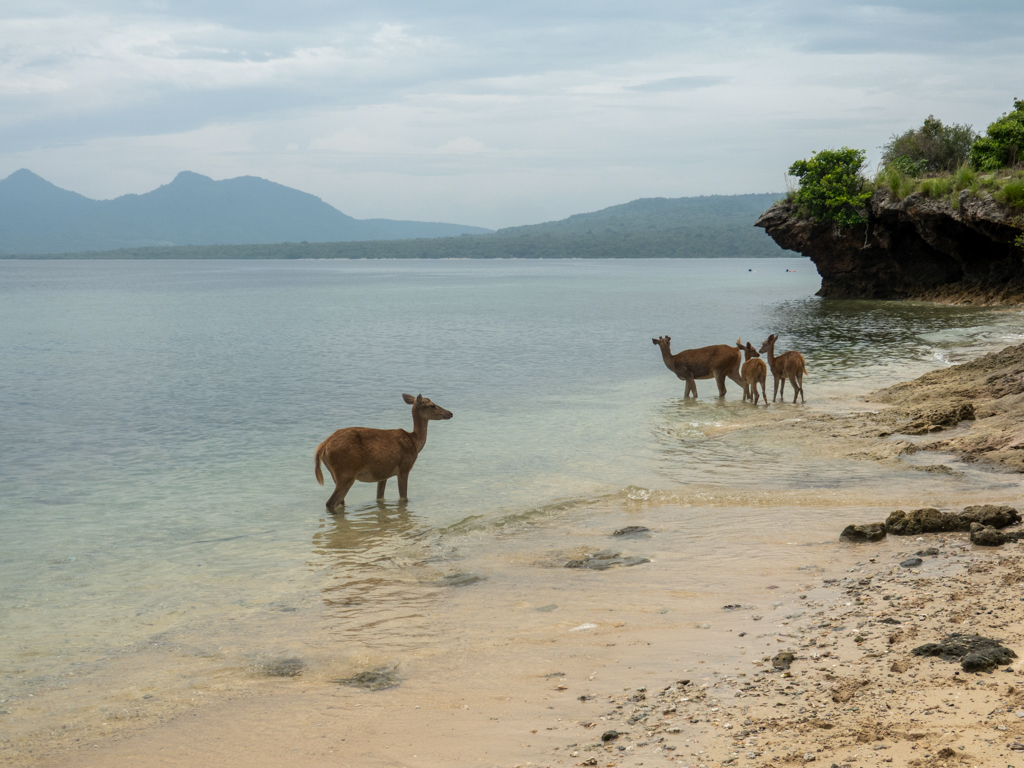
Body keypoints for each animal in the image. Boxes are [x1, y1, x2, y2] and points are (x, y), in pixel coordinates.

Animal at [315, 393, 452, 514]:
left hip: (335, 474)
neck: (415, 443)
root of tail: (323, 446)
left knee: (340, 501)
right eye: (432, 405)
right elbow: (404, 497)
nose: (450, 413)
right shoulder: (404, 467)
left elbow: (380, 498)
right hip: (346, 472)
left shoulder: (383, 474)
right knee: (331, 502)